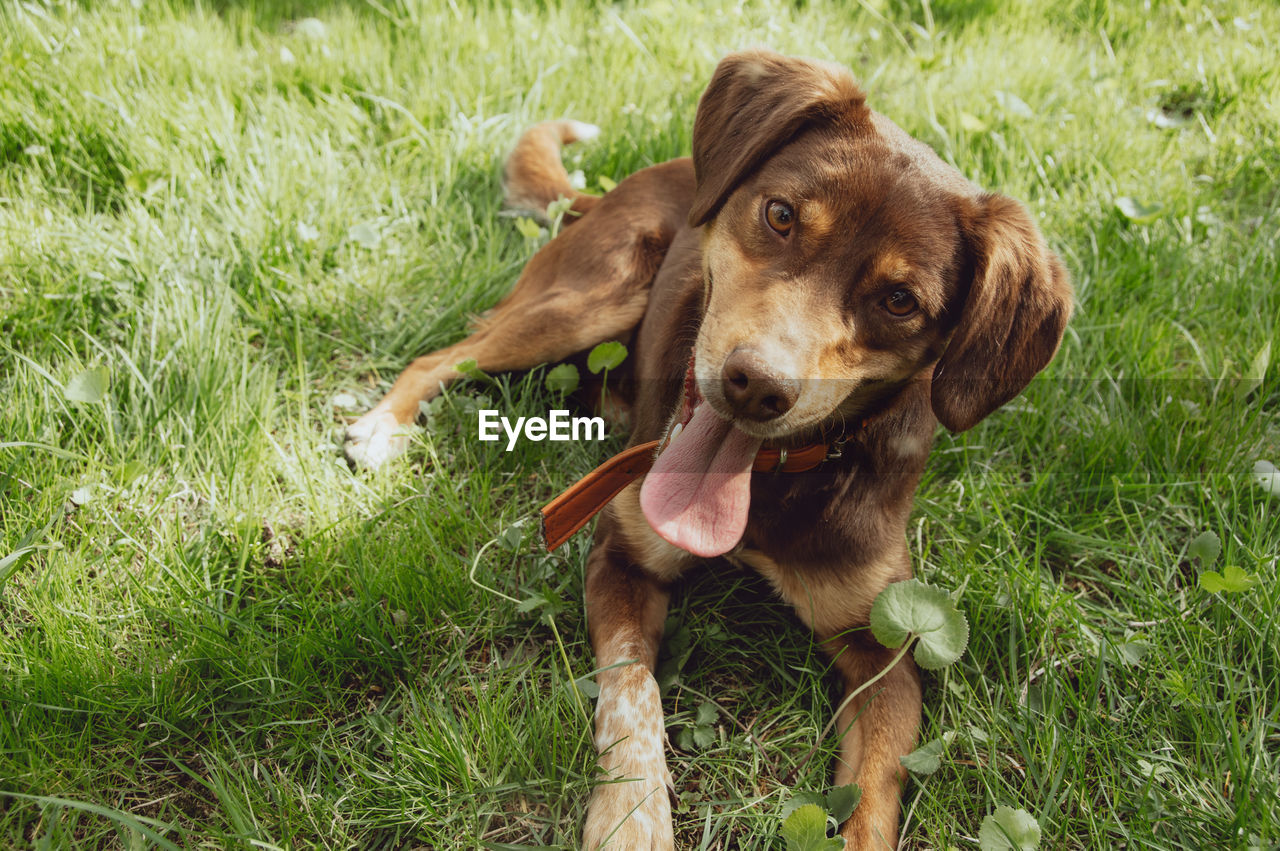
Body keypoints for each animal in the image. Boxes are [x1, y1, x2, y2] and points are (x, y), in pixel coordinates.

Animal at [343, 49, 1070, 844]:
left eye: (900, 301)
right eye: (781, 215)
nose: (756, 387)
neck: (771, 484)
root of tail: (624, 182)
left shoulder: (886, 648)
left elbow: (876, 788)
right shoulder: (621, 556)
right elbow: (632, 694)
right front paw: (631, 820)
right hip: (590, 298)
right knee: (444, 356)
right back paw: (382, 428)